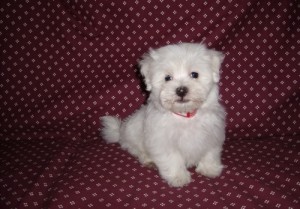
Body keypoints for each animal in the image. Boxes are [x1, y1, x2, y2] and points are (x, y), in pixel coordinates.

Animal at [101, 42, 225, 188]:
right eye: (167, 78)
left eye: (194, 74)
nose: (181, 90)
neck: (185, 115)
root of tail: (120, 132)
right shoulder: (164, 141)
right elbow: (173, 159)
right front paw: (178, 177)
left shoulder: (212, 133)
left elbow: (210, 152)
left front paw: (209, 169)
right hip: (133, 137)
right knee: (138, 150)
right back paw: (149, 160)